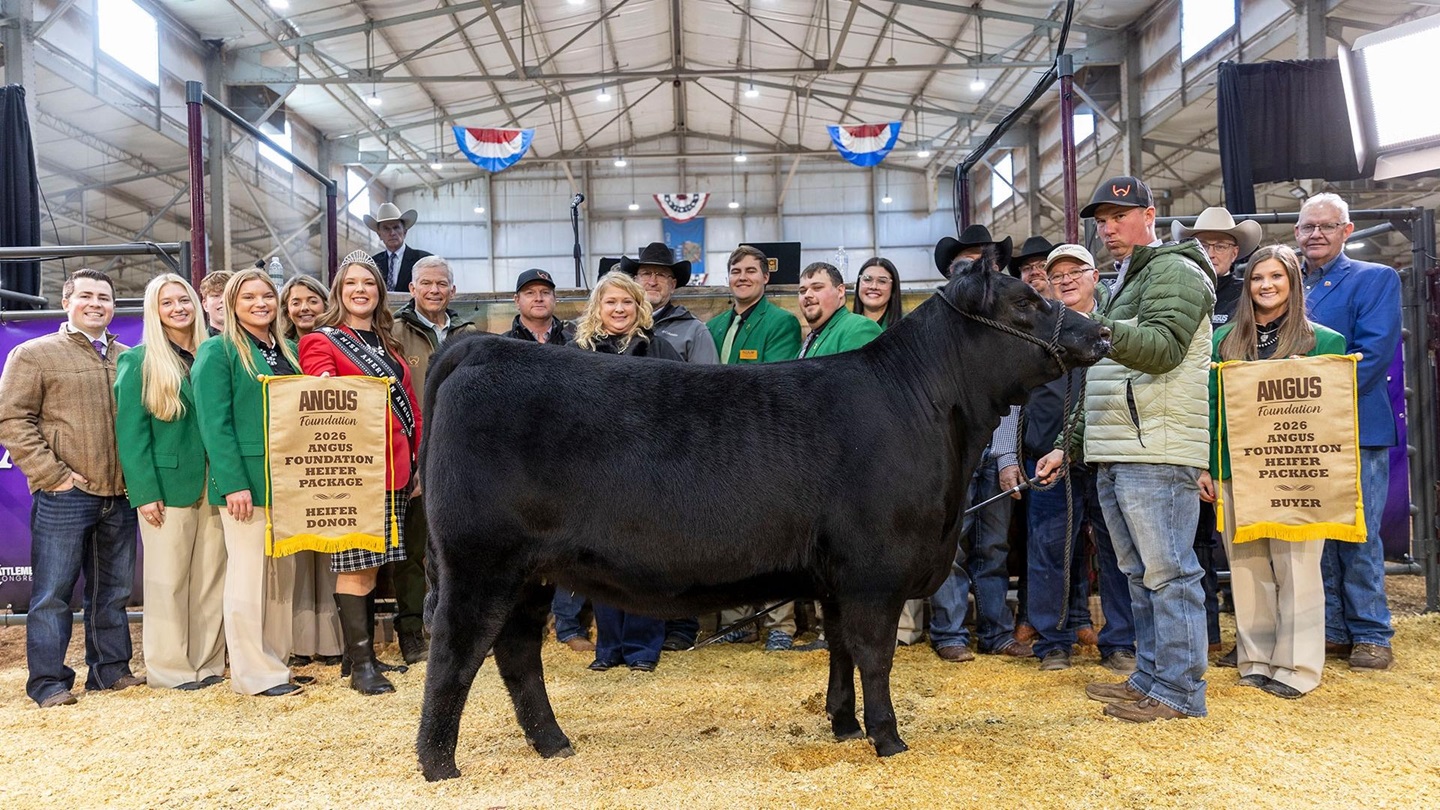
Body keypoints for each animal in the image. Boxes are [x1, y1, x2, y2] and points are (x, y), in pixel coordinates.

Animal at [415, 256, 1111, 781]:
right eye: (1025, 303)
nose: (1100, 333)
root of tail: (480, 349)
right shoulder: (875, 571)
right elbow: (875, 655)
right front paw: (888, 739)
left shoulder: (837, 578)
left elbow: (840, 650)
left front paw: (843, 725)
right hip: (480, 561)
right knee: (455, 651)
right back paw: (438, 765)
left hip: (531, 571)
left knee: (516, 653)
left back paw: (553, 743)